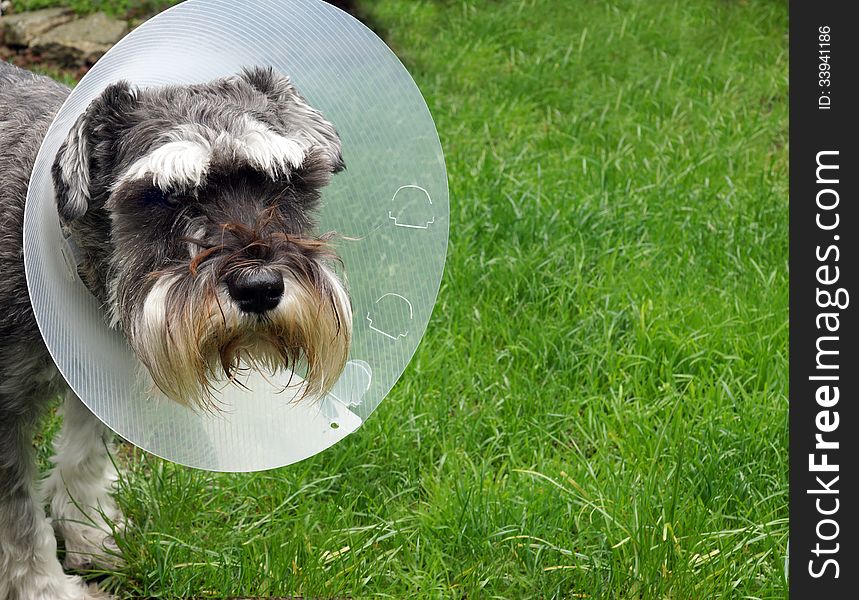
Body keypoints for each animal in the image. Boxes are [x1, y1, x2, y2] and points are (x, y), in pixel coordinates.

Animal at [0, 62, 352, 600]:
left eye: (281, 182)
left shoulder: (98, 378)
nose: (259, 288)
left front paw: (91, 536)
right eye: (164, 195)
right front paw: (48, 590)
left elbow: (85, 459)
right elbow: (18, 520)